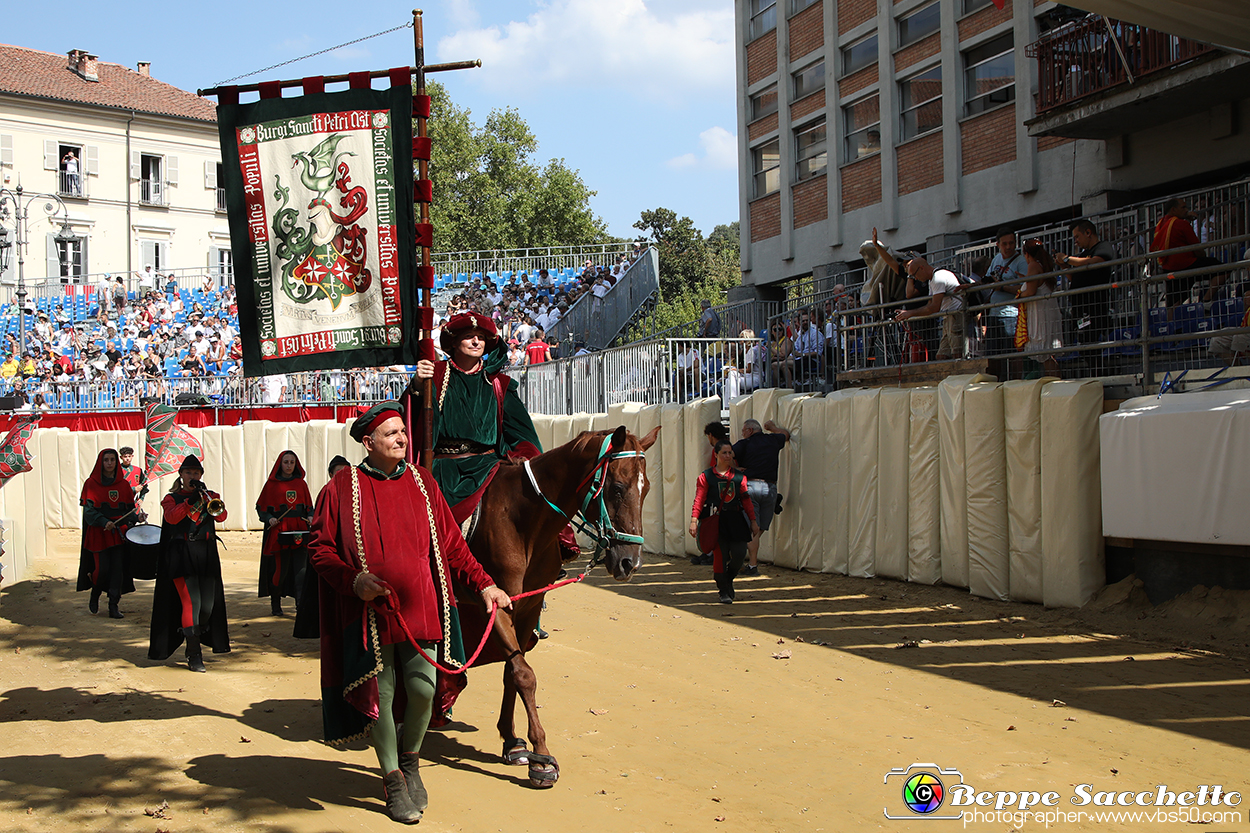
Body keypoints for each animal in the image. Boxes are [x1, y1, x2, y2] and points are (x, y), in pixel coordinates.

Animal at [450, 422, 665, 785]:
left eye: (646, 487)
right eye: (617, 488)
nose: (630, 563)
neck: (522, 521)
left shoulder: (528, 606)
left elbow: (512, 671)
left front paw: (512, 741)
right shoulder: (495, 604)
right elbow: (524, 674)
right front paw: (542, 755)